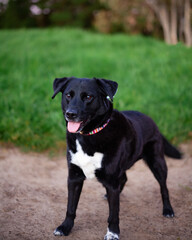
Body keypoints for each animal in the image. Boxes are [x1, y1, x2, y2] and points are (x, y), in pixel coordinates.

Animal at [51, 77, 181, 240]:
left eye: (88, 97)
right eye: (68, 95)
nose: (70, 114)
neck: (89, 135)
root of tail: (150, 119)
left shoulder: (111, 179)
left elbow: (113, 214)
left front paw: (112, 233)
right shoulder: (74, 177)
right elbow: (70, 207)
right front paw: (65, 227)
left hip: (157, 162)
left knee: (164, 187)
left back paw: (168, 210)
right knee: (124, 178)